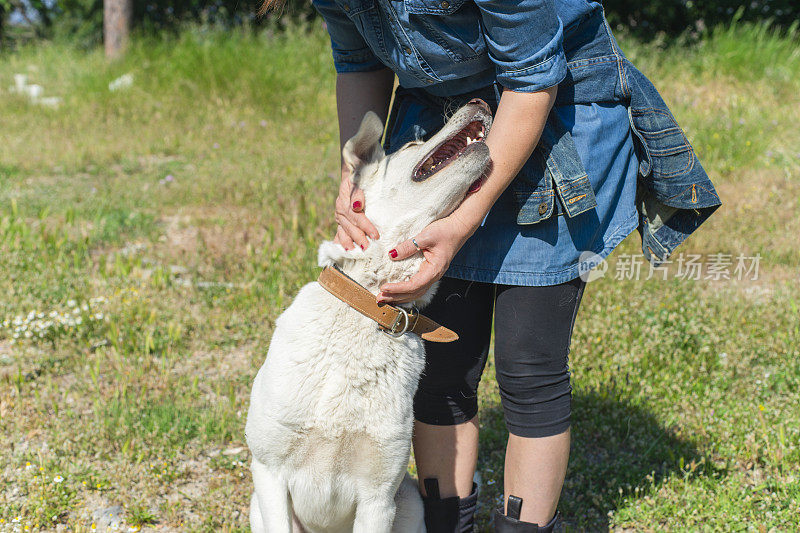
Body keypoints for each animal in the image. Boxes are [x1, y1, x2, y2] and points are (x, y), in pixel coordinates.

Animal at [247, 98, 490, 528]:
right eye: (412, 145)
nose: (480, 101)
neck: (367, 307)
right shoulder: (269, 473)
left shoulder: (379, 497)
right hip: (255, 507)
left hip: (410, 504)